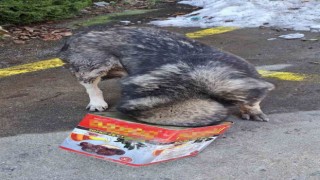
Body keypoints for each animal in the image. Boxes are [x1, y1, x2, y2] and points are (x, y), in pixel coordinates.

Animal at [58, 27, 274, 126]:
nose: (127, 108)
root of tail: (72, 39)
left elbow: (253, 98)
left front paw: (252, 110)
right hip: (97, 64)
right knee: (90, 84)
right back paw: (97, 102)